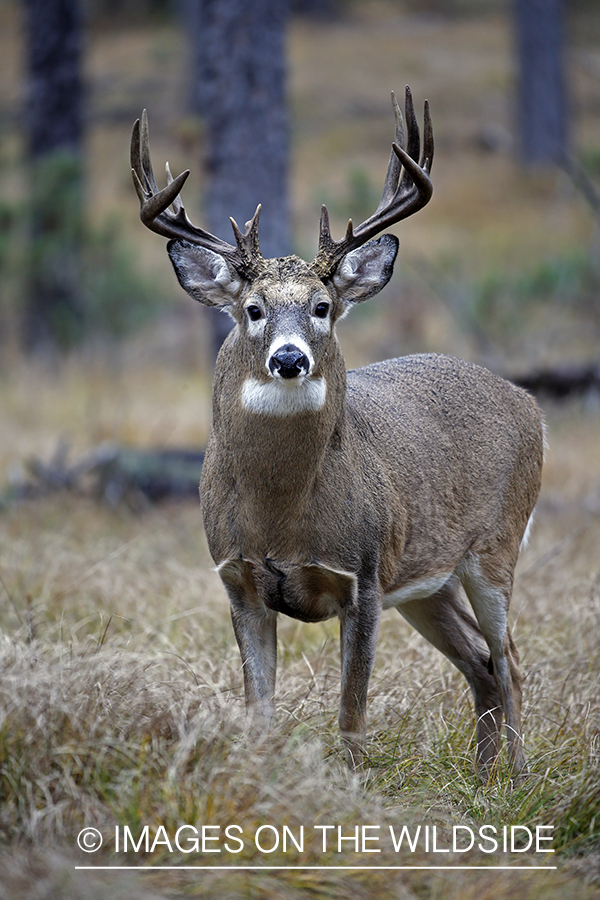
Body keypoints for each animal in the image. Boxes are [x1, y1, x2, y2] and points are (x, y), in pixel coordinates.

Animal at [131, 91, 544, 780]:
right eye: (253, 309)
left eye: (322, 307)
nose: (289, 358)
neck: (281, 514)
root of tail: (529, 402)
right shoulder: (237, 577)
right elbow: (259, 711)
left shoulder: (364, 576)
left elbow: (351, 716)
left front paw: (350, 788)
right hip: (428, 578)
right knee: (482, 663)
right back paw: (484, 777)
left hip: (495, 546)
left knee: (509, 658)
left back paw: (514, 780)